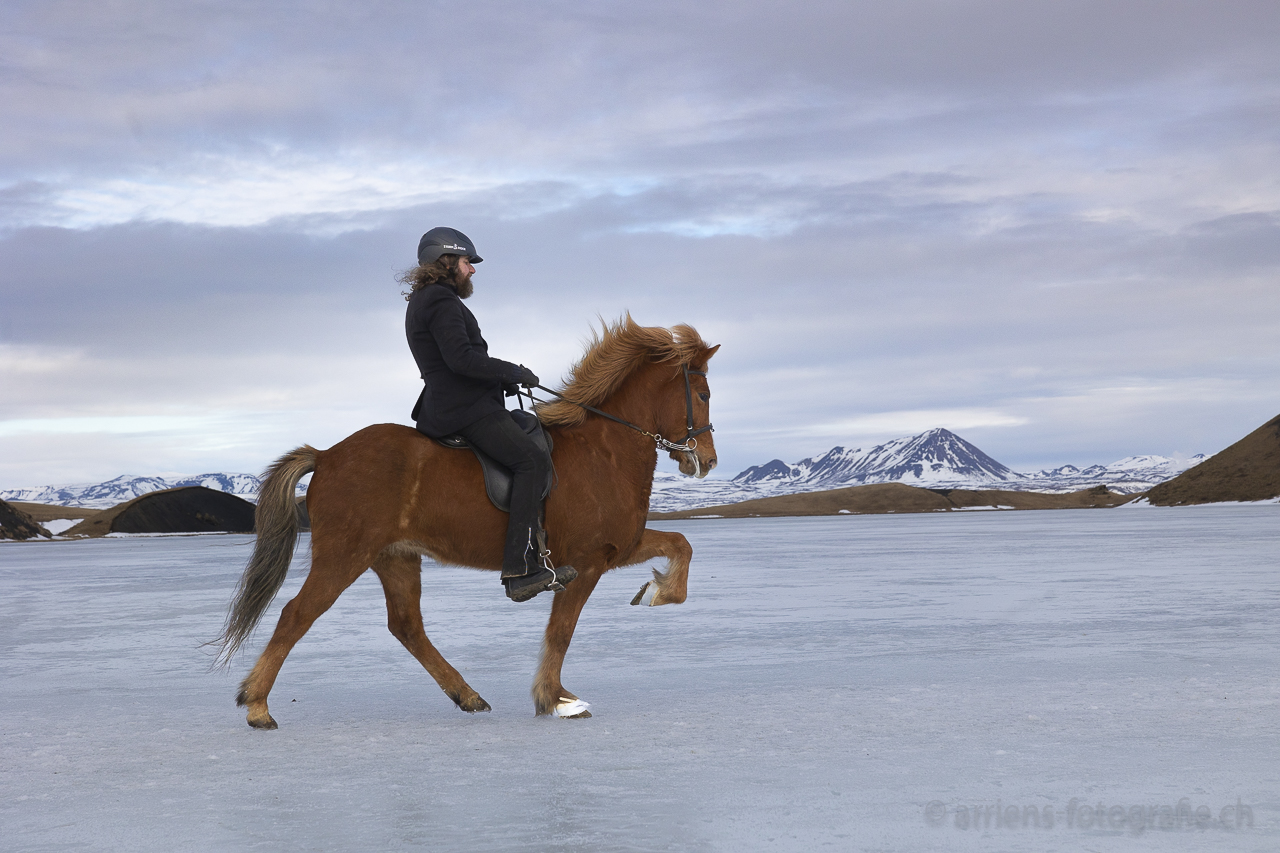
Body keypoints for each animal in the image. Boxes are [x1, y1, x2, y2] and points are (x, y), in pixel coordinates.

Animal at [209, 315, 721, 727]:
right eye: (702, 393)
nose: (708, 461)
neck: (605, 449)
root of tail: (328, 454)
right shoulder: (587, 560)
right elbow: (561, 631)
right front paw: (556, 699)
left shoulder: (617, 547)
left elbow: (681, 542)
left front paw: (657, 591)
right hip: (345, 553)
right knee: (298, 614)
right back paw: (257, 706)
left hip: (395, 556)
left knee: (407, 626)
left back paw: (467, 695)